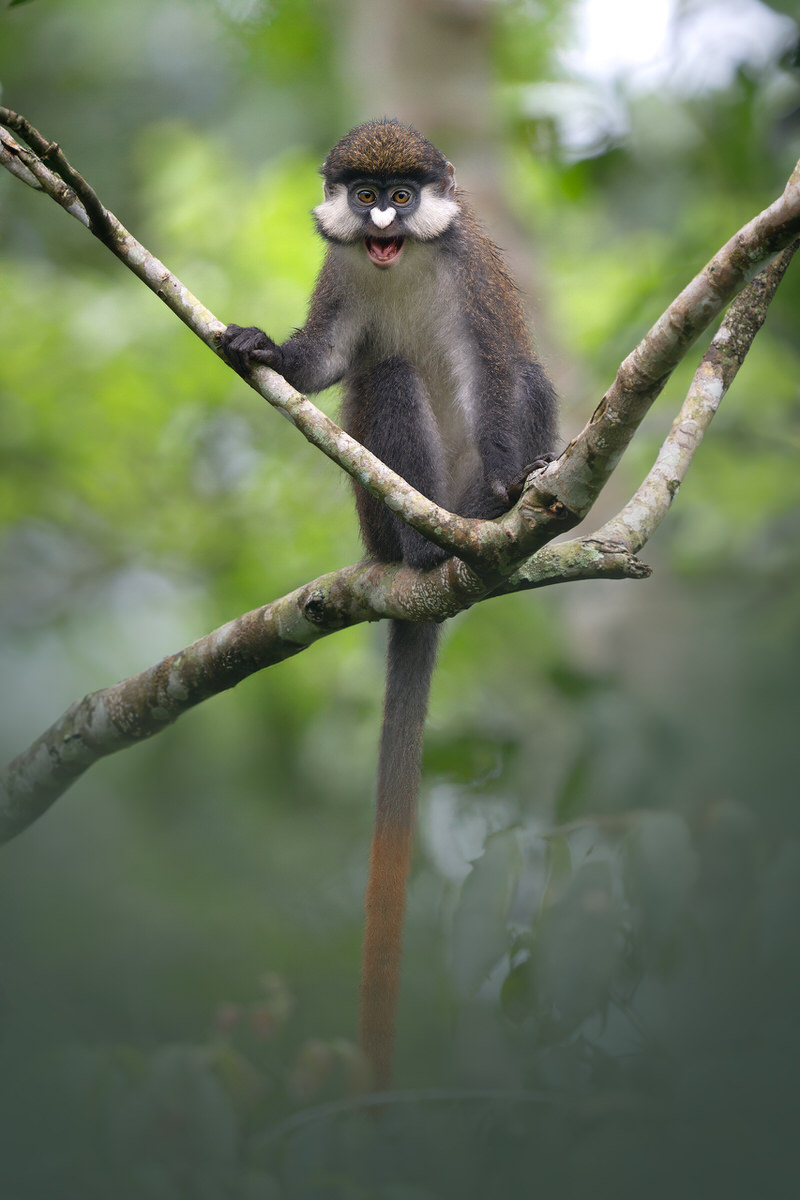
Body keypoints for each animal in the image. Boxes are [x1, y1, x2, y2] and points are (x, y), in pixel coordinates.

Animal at [221, 118, 557, 1090]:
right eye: (365, 193)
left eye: (403, 197)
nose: (380, 219)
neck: (398, 262)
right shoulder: (340, 277)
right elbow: (331, 359)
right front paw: (265, 347)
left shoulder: (471, 270)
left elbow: (506, 373)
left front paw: (513, 483)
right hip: (376, 513)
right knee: (388, 372)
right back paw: (420, 550)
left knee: (512, 384)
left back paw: (481, 518)